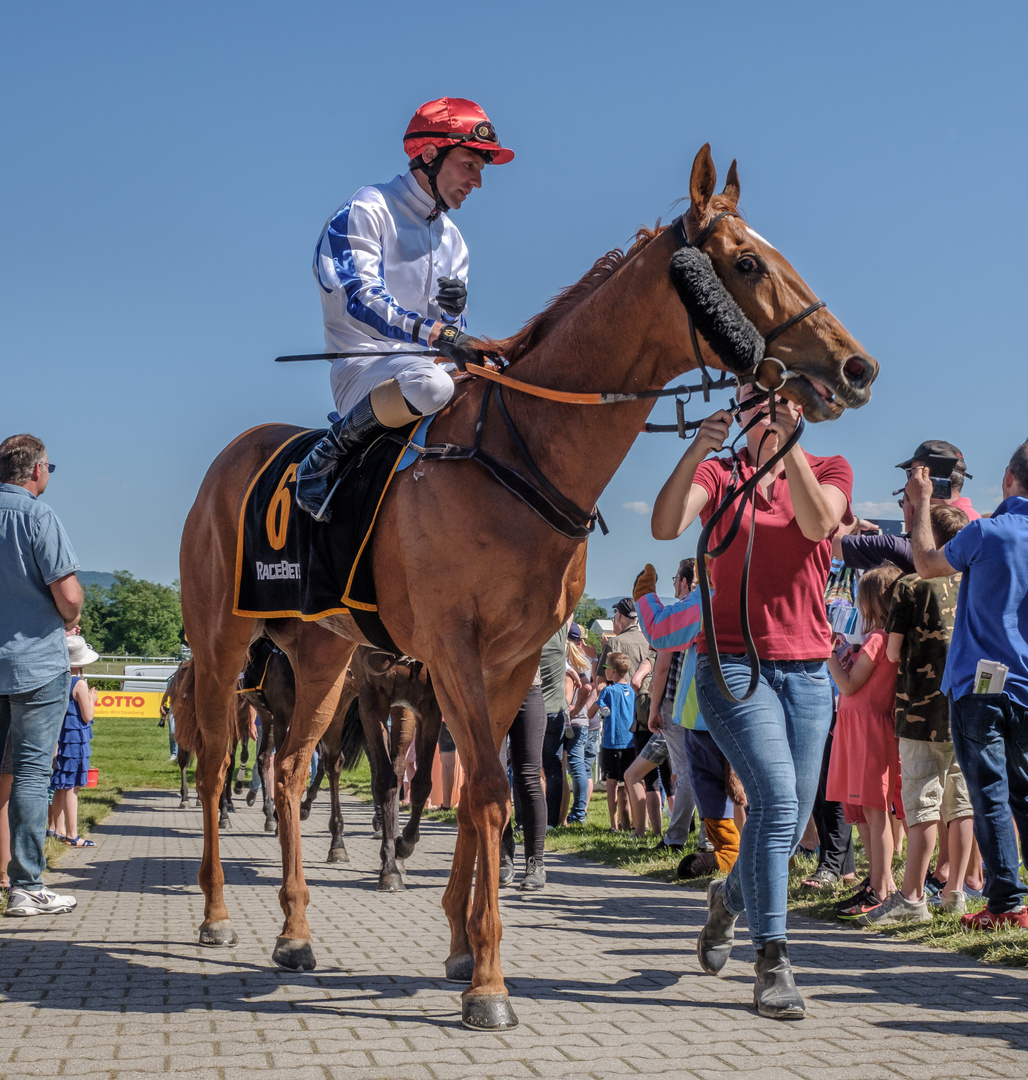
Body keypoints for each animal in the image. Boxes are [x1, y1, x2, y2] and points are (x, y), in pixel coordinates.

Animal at [178, 143, 876, 1028]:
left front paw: (460, 945)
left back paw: (296, 932)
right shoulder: (452, 648)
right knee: (214, 767)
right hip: (222, 643)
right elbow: (482, 794)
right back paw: (215, 914)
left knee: (293, 766)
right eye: (747, 261)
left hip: (324, 657)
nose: (858, 366)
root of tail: (229, 459)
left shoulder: (507, 661)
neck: (522, 457)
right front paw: (487, 982)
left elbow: (491, 794)